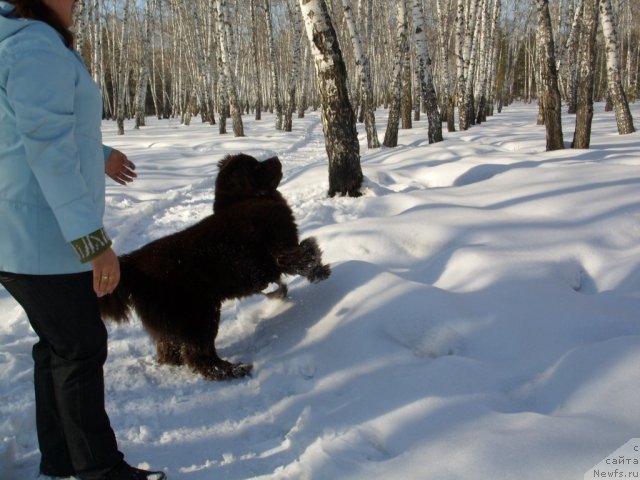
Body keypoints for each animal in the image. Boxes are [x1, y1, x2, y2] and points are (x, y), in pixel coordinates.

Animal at [100, 156, 332, 380]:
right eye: (256, 166)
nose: (276, 157)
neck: (247, 200)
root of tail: (134, 261)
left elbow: (280, 279)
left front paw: (279, 292)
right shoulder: (280, 250)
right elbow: (303, 255)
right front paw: (320, 270)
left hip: (174, 320)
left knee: (168, 348)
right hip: (201, 314)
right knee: (199, 355)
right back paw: (233, 370)